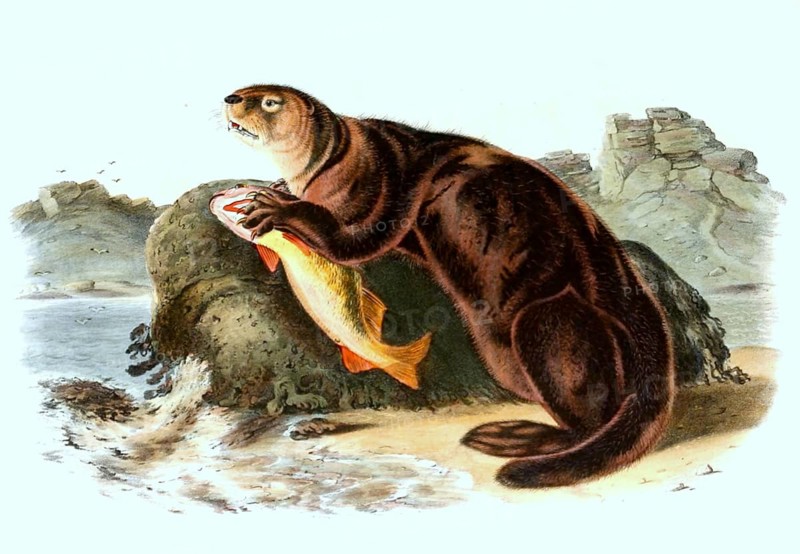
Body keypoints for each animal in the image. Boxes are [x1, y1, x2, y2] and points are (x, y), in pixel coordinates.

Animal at [222, 85, 675, 488]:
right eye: (247, 90)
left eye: (270, 101)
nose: (231, 98)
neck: (348, 157)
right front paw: (275, 190)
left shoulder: (385, 187)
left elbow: (352, 242)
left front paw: (276, 206)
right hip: (505, 358)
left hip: (543, 320)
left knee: (588, 413)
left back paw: (515, 437)